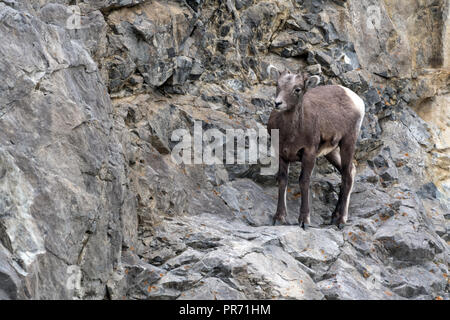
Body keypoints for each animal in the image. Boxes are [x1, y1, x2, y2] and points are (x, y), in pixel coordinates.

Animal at [268, 71, 364, 229]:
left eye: (297, 89)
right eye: (277, 84)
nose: (278, 103)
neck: (291, 133)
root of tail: (356, 99)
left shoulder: (309, 153)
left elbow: (304, 181)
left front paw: (304, 221)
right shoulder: (281, 153)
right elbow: (282, 180)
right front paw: (279, 218)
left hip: (348, 142)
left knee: (347, 175)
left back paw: (341, 220)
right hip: (331, 152)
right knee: (350, 171)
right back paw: (334, 216)